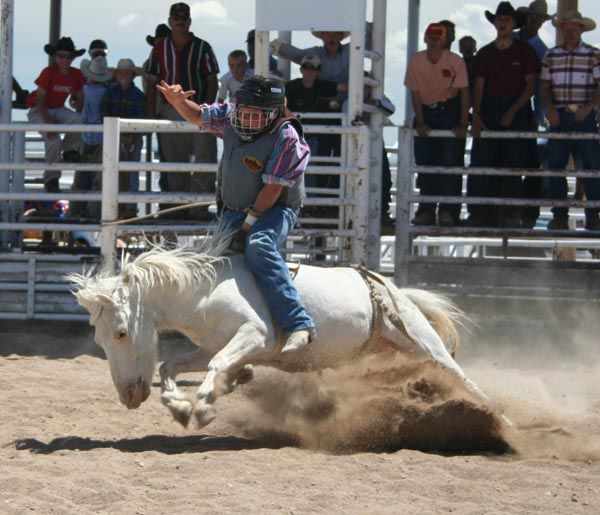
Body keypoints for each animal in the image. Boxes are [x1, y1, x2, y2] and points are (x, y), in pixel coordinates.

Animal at [69, 246, 496, 428]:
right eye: (100, 341)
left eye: (121, 332)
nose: (128, 396)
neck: (204, 290)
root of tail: (387, 286)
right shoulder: (210, 345)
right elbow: (171, 363)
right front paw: (179, 405)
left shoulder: (255, 335)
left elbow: (218, 364)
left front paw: (203, 405)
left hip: (423, 342)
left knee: (466, 380)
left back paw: (499, 420)